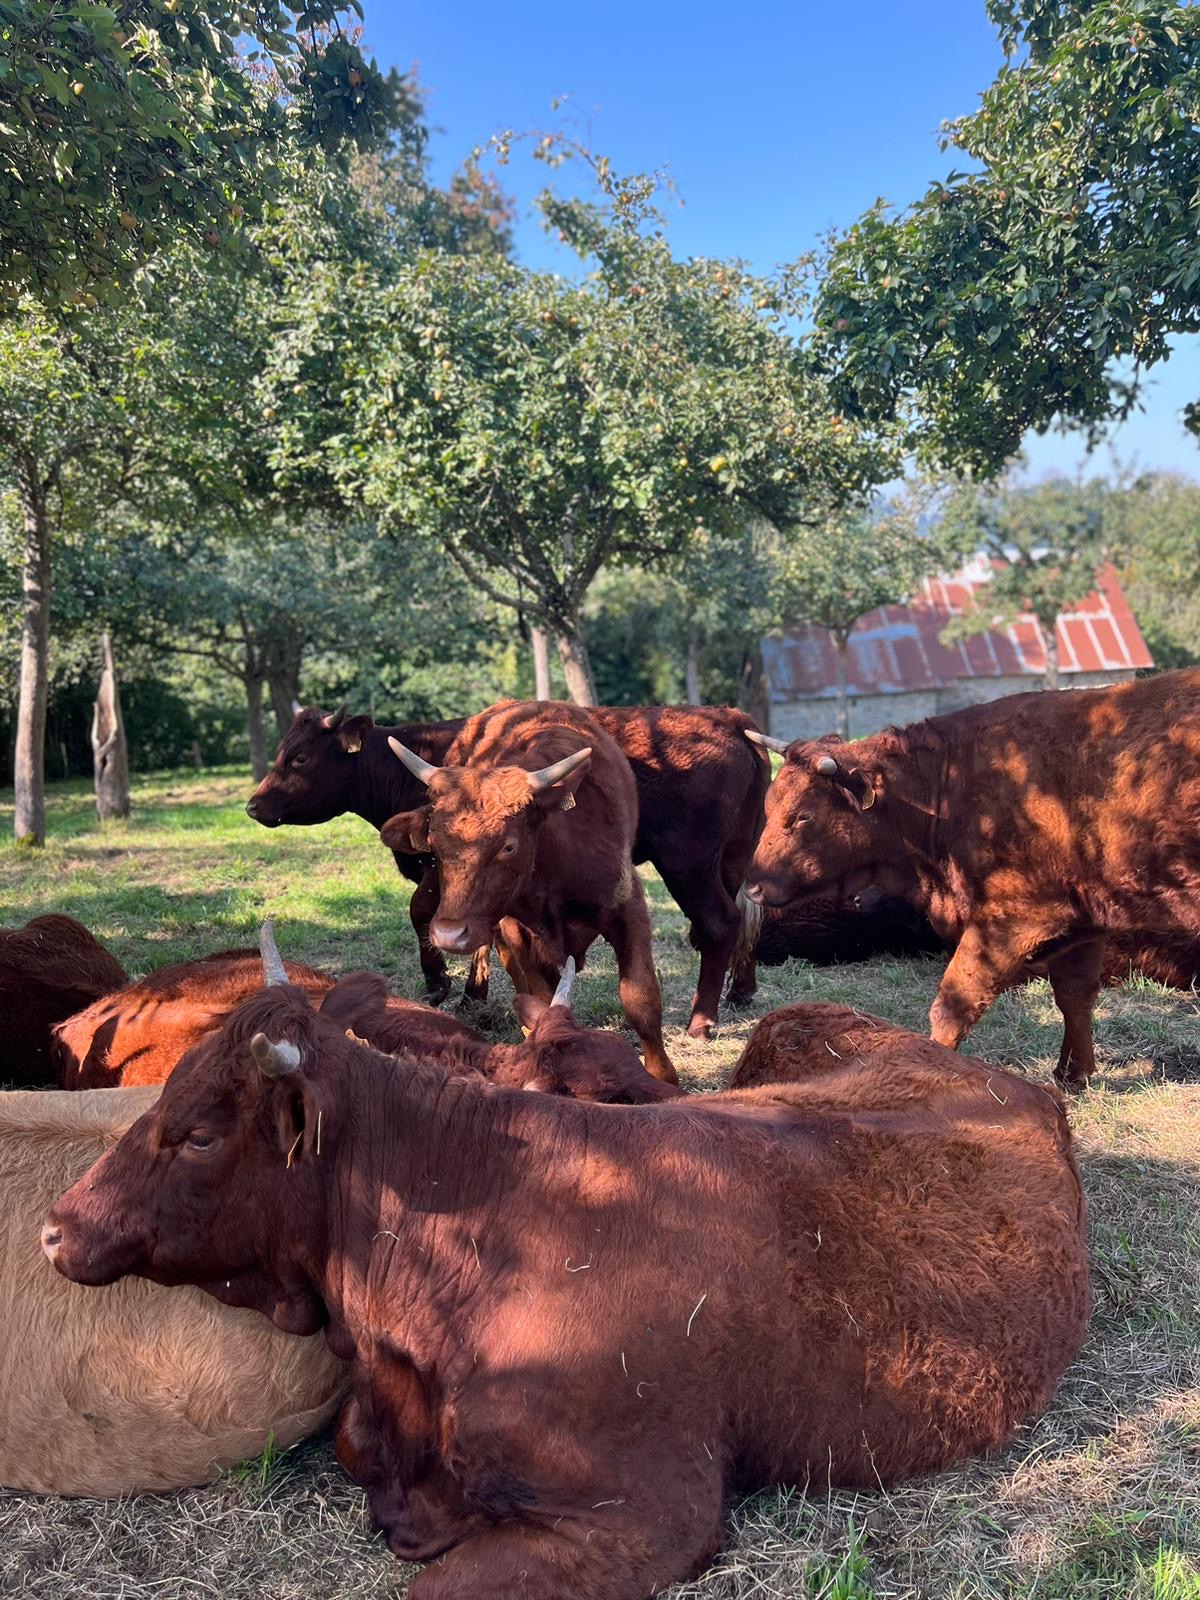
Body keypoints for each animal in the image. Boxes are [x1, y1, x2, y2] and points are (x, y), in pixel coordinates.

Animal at [380, 700, 678, 1088]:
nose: (448, 935)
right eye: (435, 844)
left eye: (508, 846)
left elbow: (641, 999)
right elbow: (541, 996)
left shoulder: (630, 908)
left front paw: (663, 1079)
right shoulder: (516, 930)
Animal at [742, 662, 1200, 1088]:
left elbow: (953, 1005)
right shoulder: (1084, 924)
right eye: (769, 805)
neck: (950, 788)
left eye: (802, 816)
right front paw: (1072, 1074)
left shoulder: (1009, 920)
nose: (752, 886)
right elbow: (1074, 996)